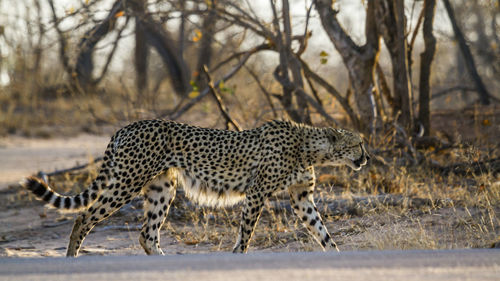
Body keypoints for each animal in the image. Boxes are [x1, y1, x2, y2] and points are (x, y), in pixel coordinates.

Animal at [21, 118, 370, 256]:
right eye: (358, 143)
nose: (367, 157)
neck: (309, 146)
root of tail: (127, 126)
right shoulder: (257, 192)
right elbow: (247, 231)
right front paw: (238, 255)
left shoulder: (301, 197)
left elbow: (322, 231)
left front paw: (336, 255)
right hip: (126, 182)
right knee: (83, 218)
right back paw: (71, 258)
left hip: (162, 188)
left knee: (147, 234)